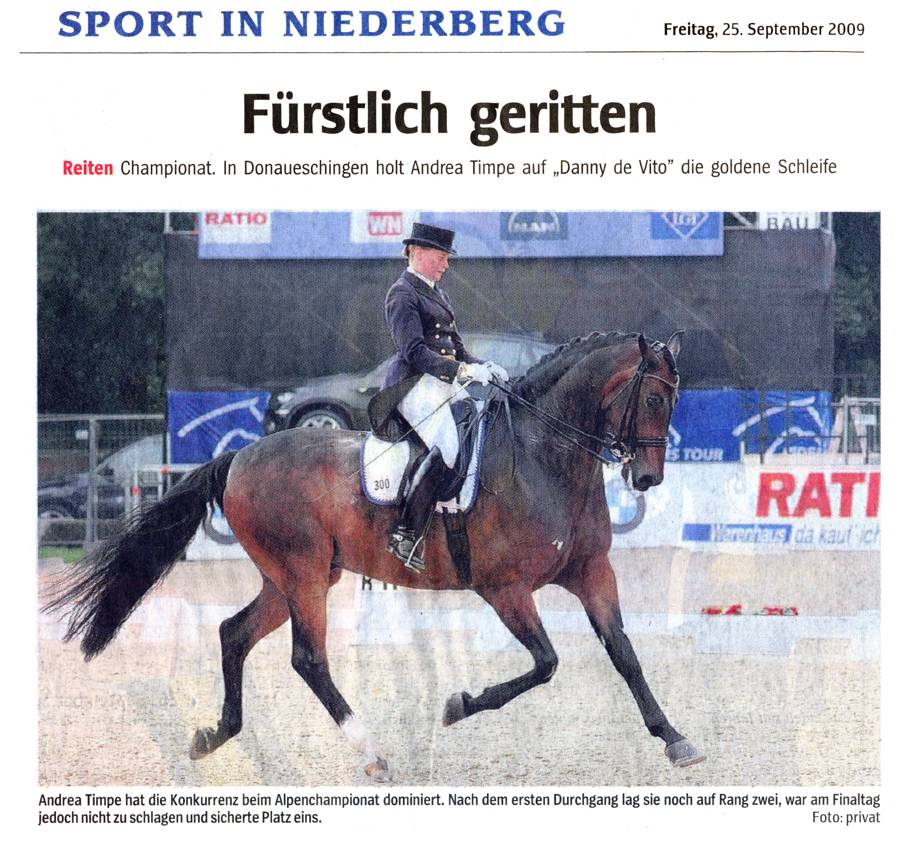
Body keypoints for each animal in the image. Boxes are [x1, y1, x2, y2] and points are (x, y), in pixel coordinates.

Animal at [43, 330, 706, 781]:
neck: (545, 455)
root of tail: (239, 457)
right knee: (308, 659)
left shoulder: (593, 574)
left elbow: (625, 655)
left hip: (291, 578)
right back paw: (373, 754)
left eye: (674, 403)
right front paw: (457, 706)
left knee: (234, 633)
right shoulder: (505, 588)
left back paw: (216, 735)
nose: (646, 478)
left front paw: (674, 739)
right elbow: (545, 663)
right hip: (305, 576)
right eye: (651, 399)